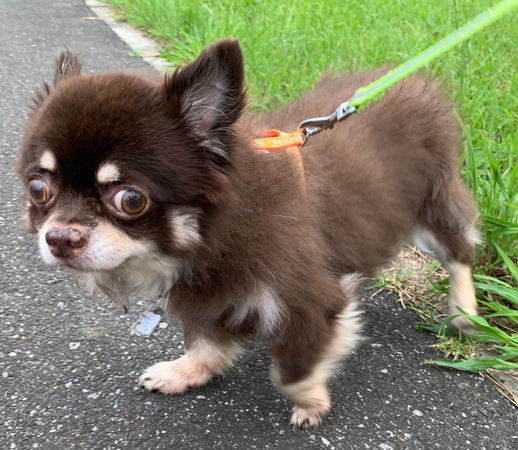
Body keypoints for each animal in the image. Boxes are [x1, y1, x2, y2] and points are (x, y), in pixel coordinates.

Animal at [17, 39, 480, 429]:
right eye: (38, 189)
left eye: (131, 200)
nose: (59, 238)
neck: (209, 241)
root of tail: (416, 81)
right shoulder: (209, 295)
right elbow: (206, 343)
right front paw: (187, 372)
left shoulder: (314, 300)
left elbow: (290, 372)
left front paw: (312, 402)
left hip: (432, 212)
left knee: (461, 254)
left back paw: (463, 310)